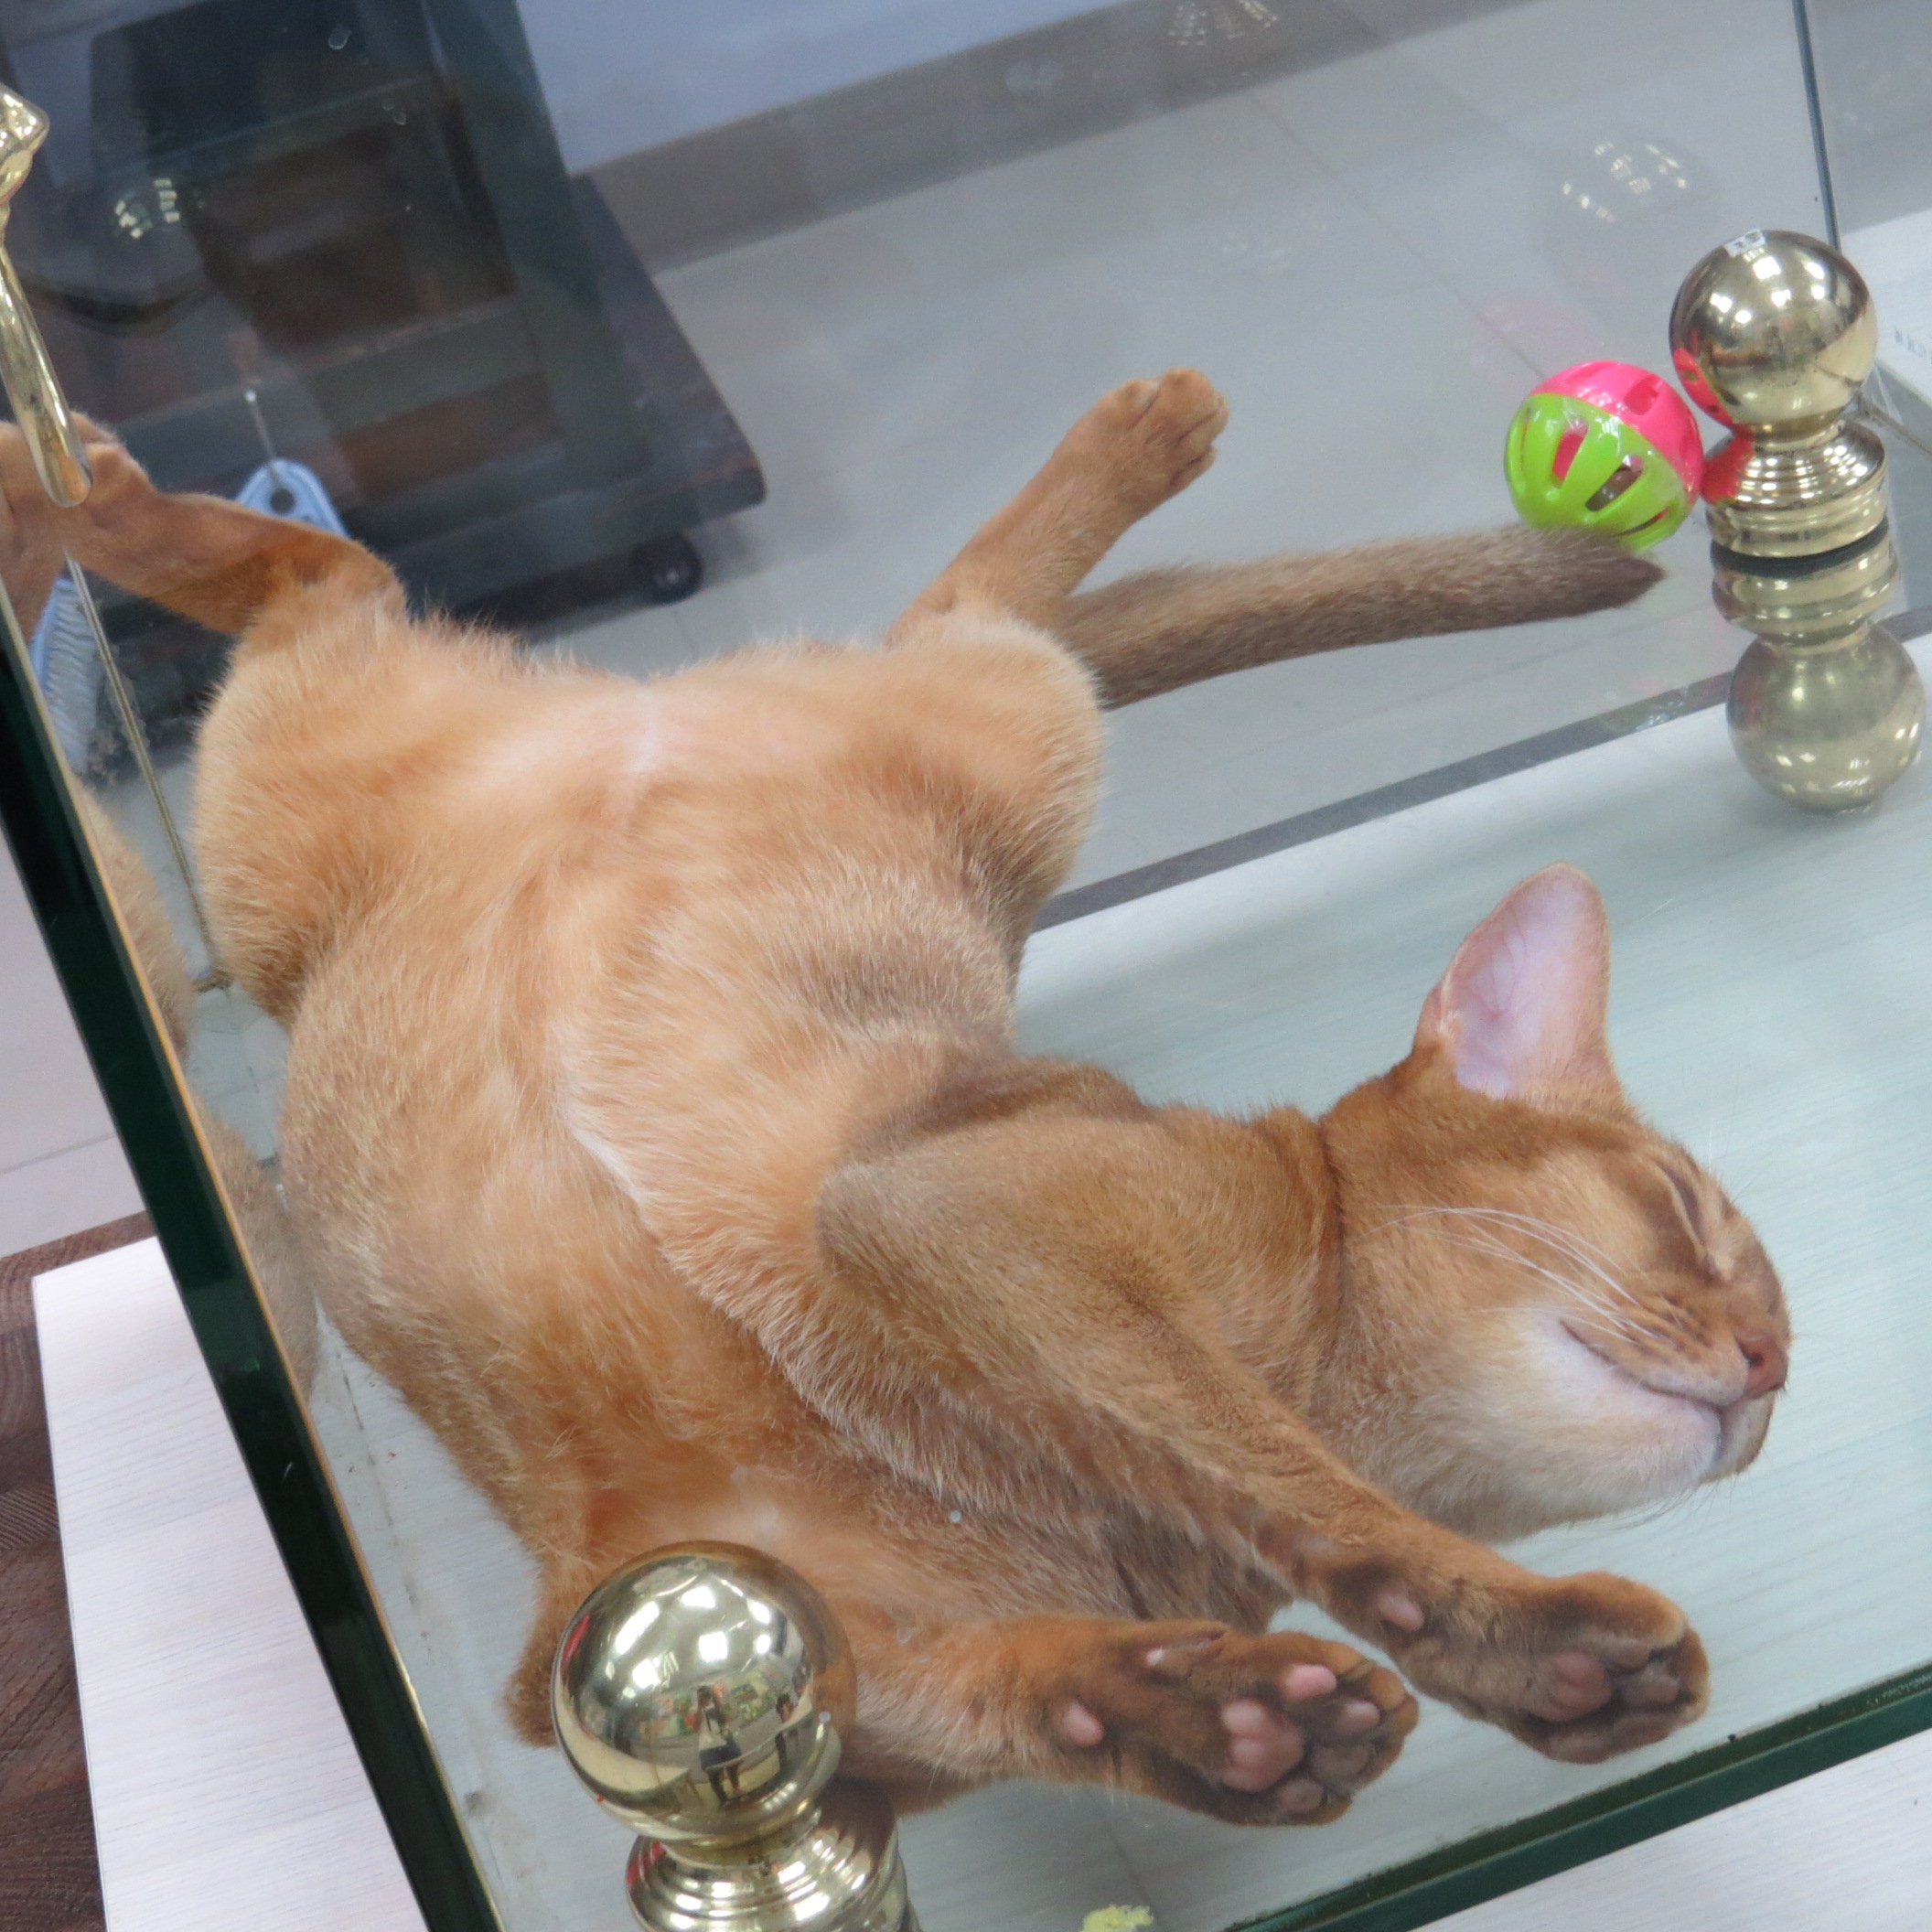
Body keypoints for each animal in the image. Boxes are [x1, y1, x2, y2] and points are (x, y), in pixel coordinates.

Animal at [0, 370, 1787, 1829]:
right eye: (1687, 1215)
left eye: (1772, 1321)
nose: (1769, 1366)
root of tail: (635, 708)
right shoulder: (954, 1214)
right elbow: (1288, 1481)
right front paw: (1519, 1642)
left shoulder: (661, 1657)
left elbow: (954, 1702)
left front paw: (1210, 1722)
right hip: (1008, 752)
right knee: (946, 608)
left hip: (294, 822)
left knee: (341, 586)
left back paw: (75, 497)